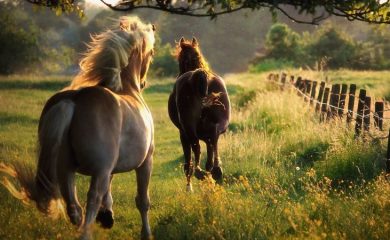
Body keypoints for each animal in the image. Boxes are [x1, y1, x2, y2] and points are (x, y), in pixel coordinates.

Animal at [0, 15, 155, 239]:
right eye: (151, 53)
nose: (143, 83)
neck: (127, 89)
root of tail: (73, 100)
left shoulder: (110, 167)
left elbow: (110, 190)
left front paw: (107, 216)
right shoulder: (145, 162)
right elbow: (142, 202)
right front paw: (146, 233)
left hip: (65, 170)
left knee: (74, 208)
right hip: (97, 171)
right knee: (91, 200)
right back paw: (87, 231)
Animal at [168, 37, 230, 190]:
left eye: (180, 57)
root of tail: (199, 74)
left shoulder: (182, 133)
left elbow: (188, 161)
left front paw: (189, 187)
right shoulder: (207, 135)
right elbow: (209, 152)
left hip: (188, 129)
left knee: (196, 149)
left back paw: (199, 173)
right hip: (218, 124)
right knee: (214, 140)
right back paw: (216, 171)